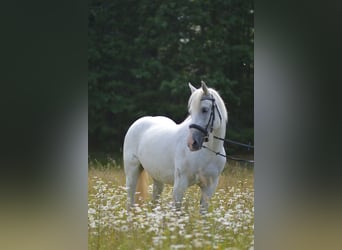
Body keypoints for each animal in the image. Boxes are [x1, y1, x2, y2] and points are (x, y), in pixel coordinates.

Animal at [123, 81, 227, 212]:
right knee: (130, 200)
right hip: (132, 172)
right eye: (191, 112)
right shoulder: (180, 184)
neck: (210, 152)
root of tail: (137, 123)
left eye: (204, 110)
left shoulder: (209, 187)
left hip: (158, 178)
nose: (191, 143)